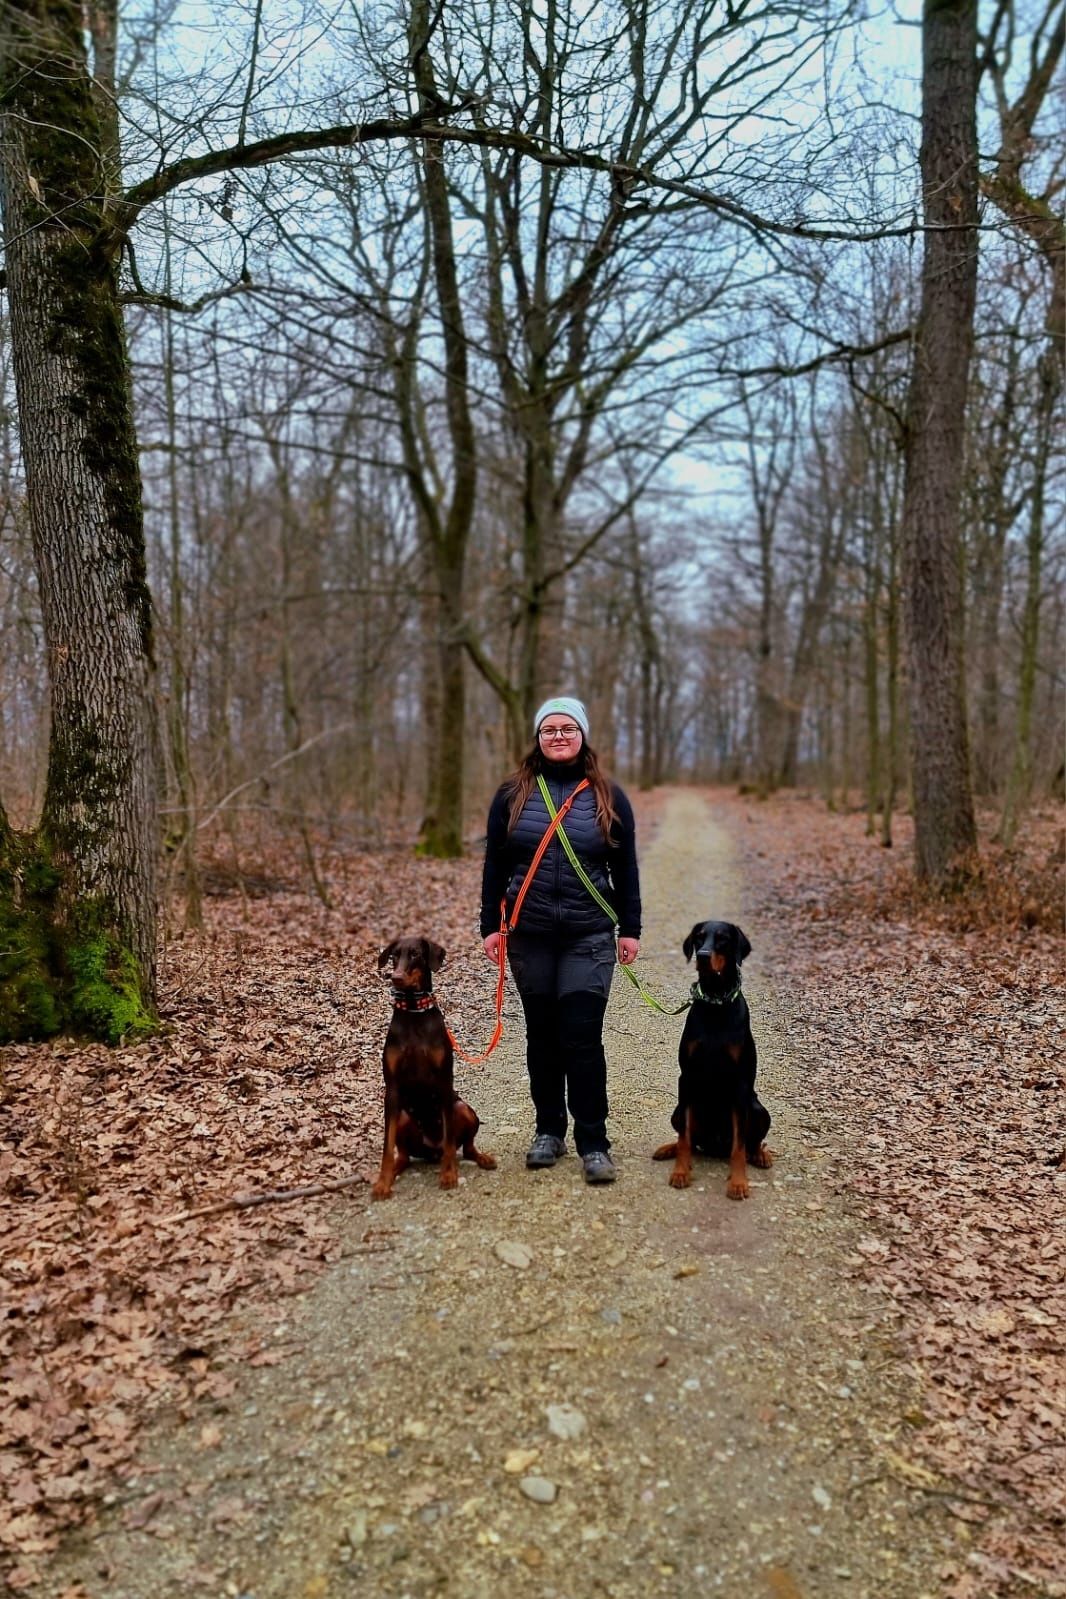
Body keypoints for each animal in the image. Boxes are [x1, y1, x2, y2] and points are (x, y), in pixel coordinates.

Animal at [370, 933, 495, 1202]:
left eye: (416, 954)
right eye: (394, 956)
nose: (395, 977)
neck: (413, 1012)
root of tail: (431, 1150)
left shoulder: (444, 1081)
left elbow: (449, 1141)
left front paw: (448, 1175)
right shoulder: (392, 1089)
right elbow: (387, 1146)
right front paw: (382, 1183)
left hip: (463, 1108)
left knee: (464, 1148)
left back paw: (481, 1158)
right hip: (403, 1116)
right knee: (403, 1155)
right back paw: (394, 1172)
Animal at [655, 921, 770, 1196]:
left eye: (723, 939)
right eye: (699, 937)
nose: (703, 955)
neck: (716, 1003)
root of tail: (716, 1146)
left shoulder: (739, 1083)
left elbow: (739, 1145)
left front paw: (738, 1182)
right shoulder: (686, 1077)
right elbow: (684, 1137)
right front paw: (680, 1172)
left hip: (758, 1109)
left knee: (752, 1143)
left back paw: (761, 1156)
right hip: (679, 1109)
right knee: (689, 1139)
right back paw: (667, 1149)